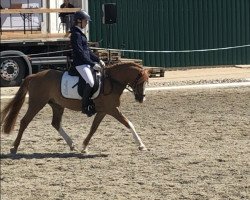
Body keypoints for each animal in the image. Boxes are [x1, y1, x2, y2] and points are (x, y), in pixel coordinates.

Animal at [0, 62, 148, 155]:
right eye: (141, 82)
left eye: (147, 82)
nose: (141, 99)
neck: (112, 81)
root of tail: (33, 76)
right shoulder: (112, 109)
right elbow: (129, 123)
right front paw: (141, 145)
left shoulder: (103, 110)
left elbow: (93, 128)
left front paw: (84, 147)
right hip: (37, 103)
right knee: (24, 121)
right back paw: (14, 148)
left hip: (57, 105)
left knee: (55, 123)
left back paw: (72, 144)